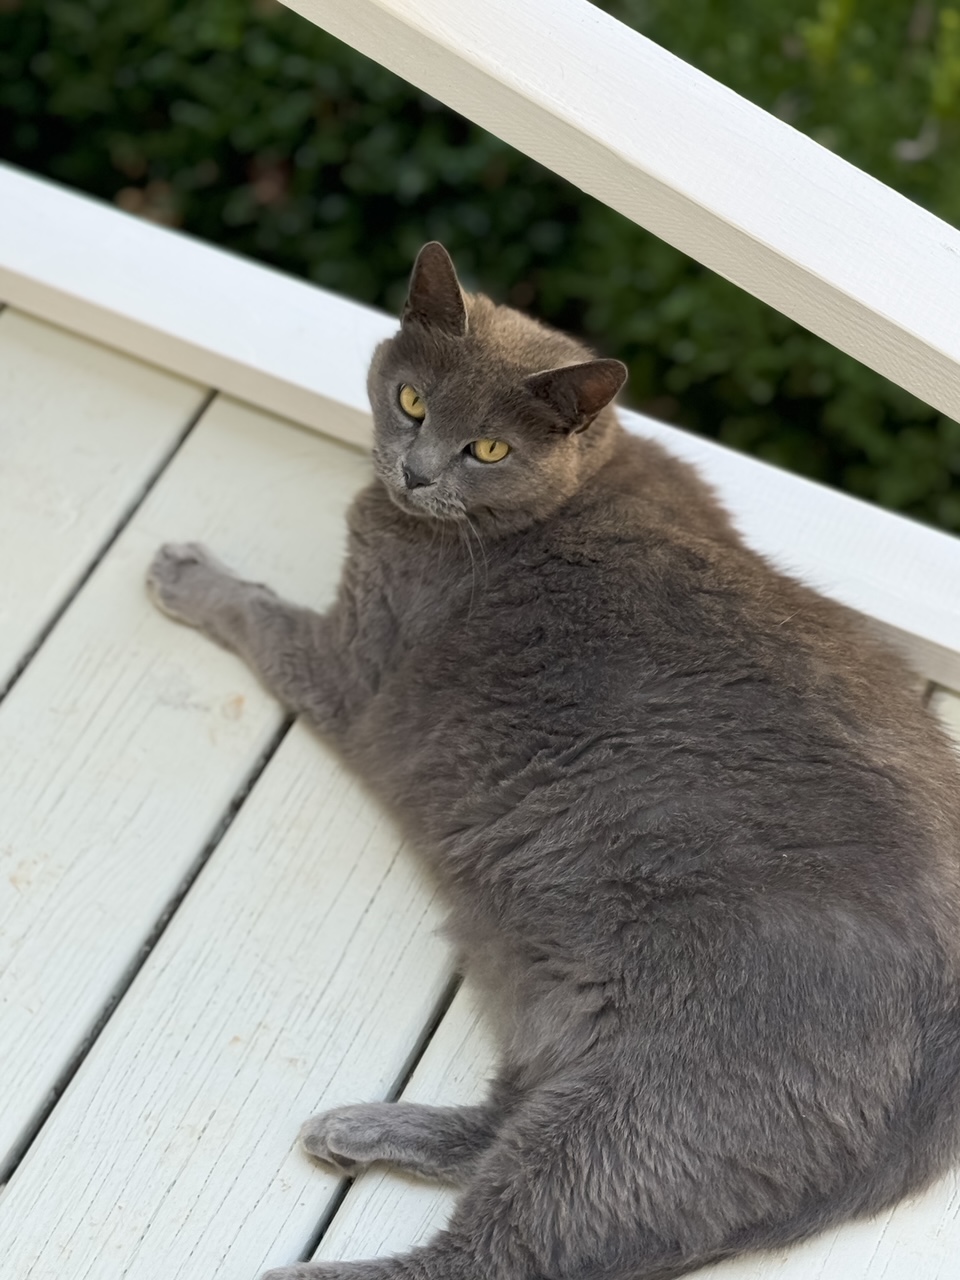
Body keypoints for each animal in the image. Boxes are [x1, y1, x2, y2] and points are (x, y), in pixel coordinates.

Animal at [146, 241, 960, 1280]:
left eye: (489, 450)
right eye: (412, 399)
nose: (415, 473)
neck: (568, 495)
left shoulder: (356, 671)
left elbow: (257, 613)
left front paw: (187, 575)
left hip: (657, 1101)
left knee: (498, 1250)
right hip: (554, 1003)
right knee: (507, 1122)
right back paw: (359, 1131)